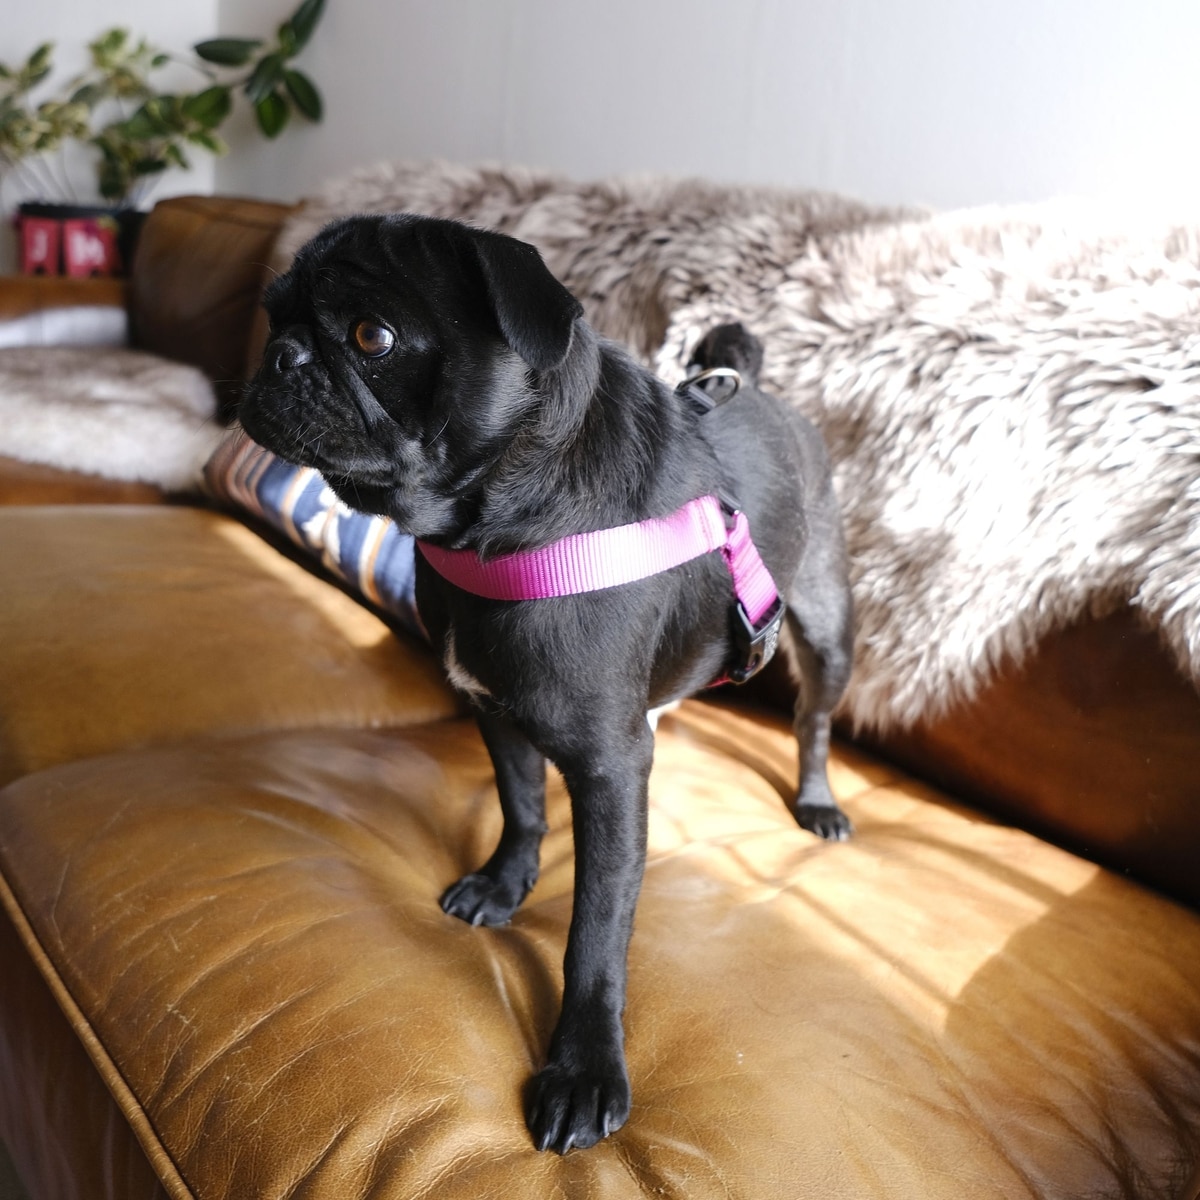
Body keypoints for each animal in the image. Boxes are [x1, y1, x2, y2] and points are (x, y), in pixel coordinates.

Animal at [239, 213, 854, 1154]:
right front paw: (504, 882)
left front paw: (584, 1069)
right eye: (274, 315)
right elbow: (522, 803)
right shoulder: (496, 709)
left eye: (372, 338)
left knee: (814, 721)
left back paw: (817, 801)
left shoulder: (608, 771)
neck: (497, 536)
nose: (280, 355)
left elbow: (596, 928)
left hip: (824, 623)